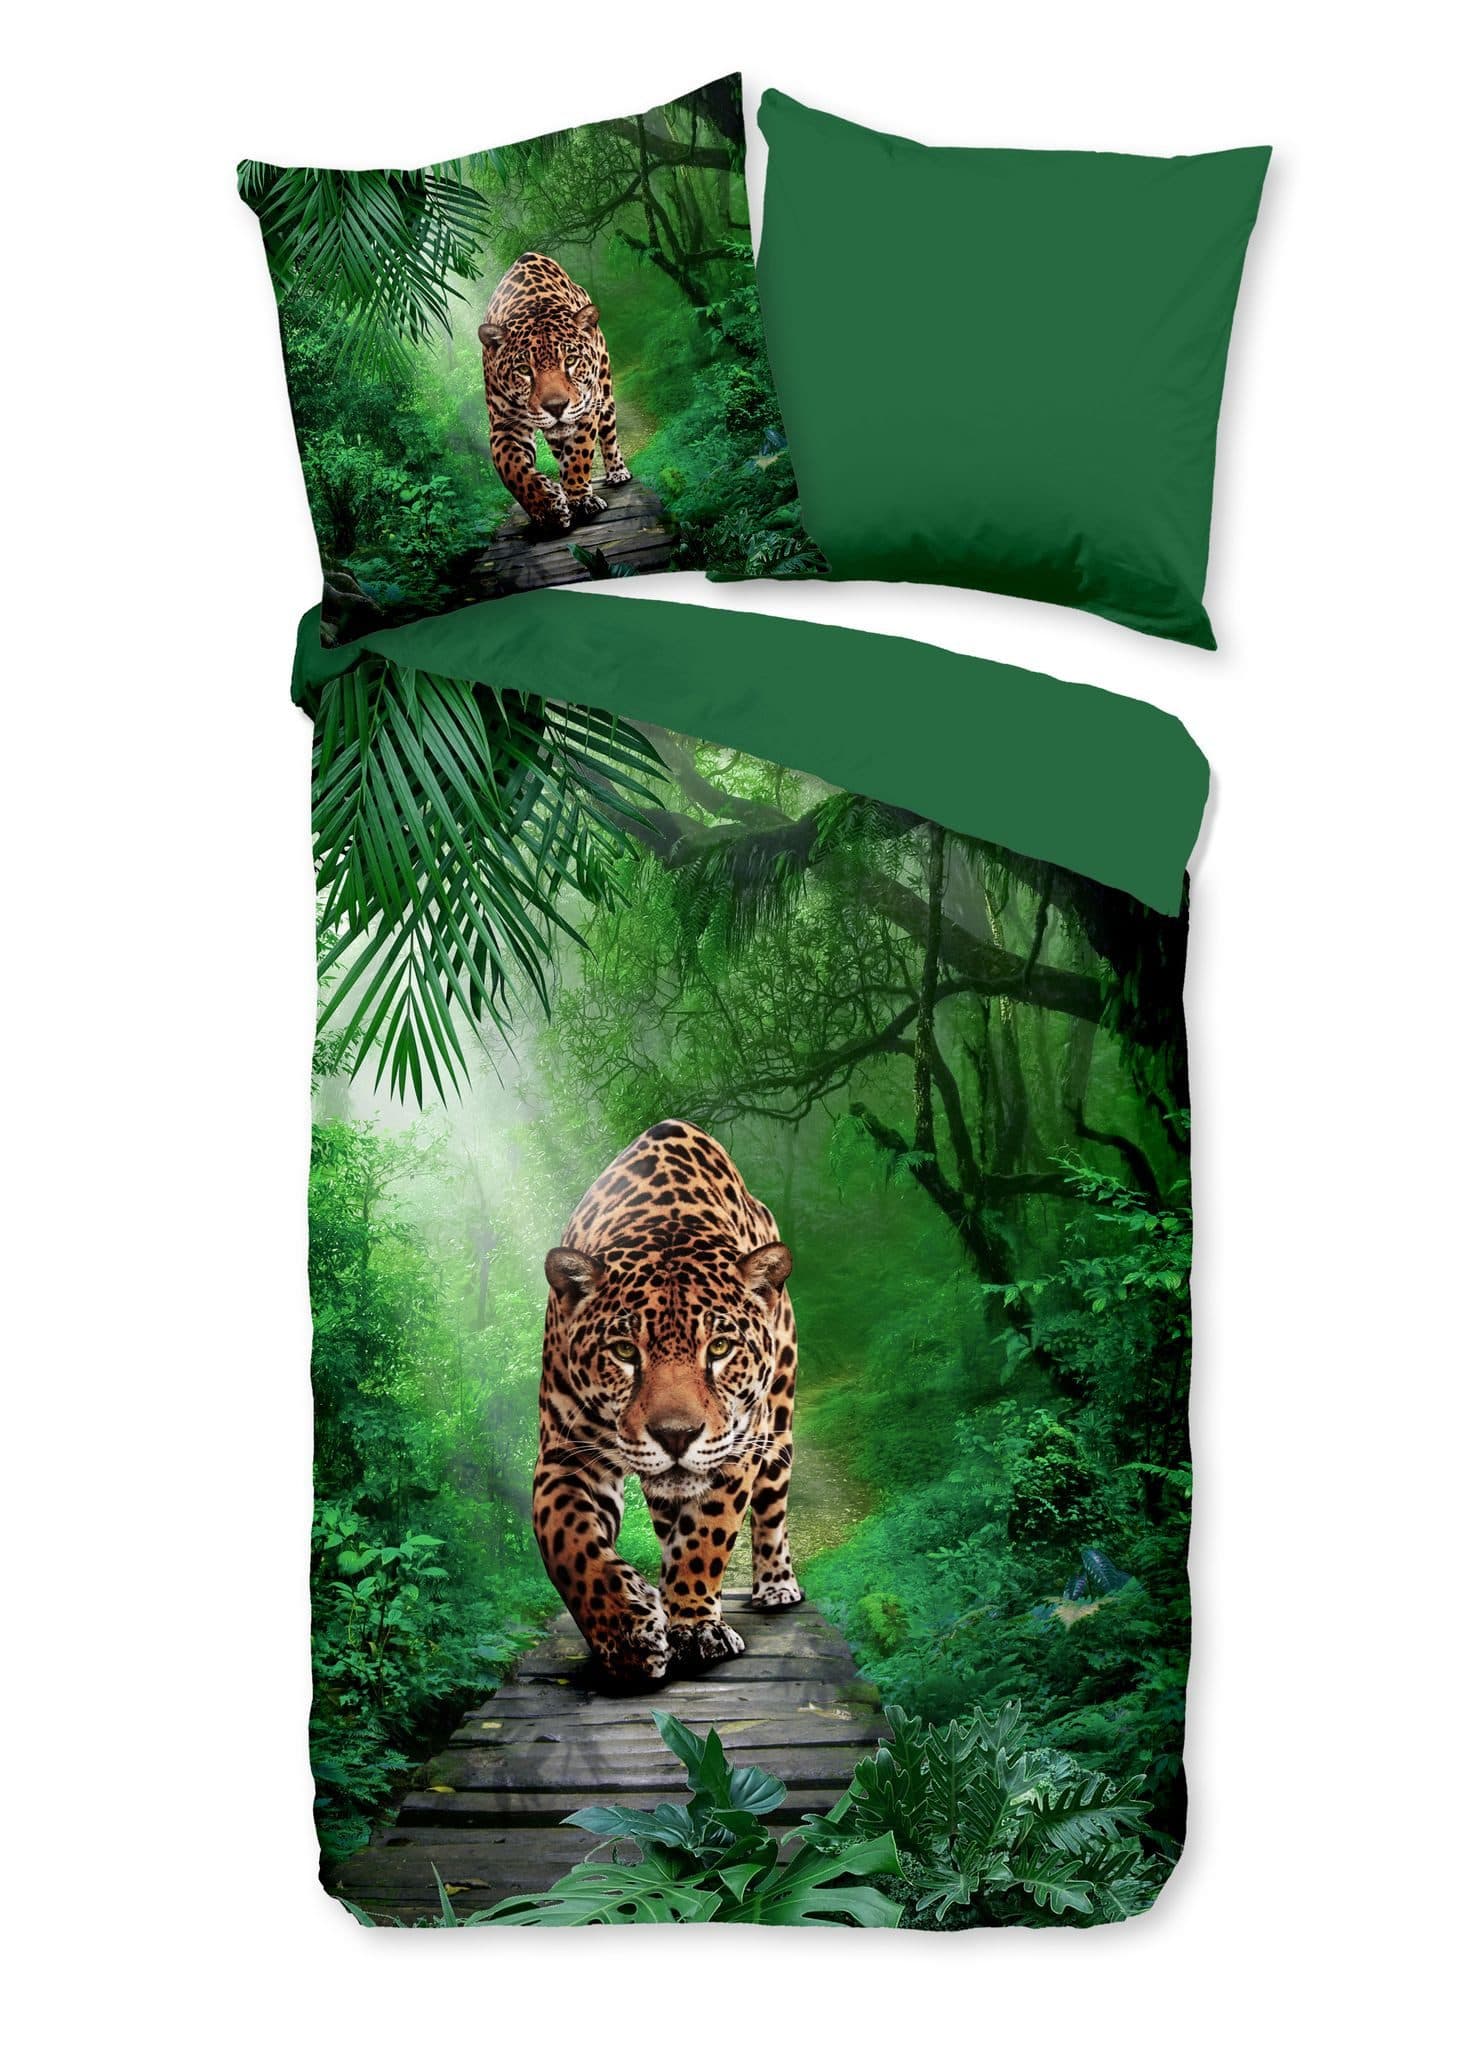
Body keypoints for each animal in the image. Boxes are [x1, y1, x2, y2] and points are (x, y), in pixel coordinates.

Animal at [478, 251, 632, 534]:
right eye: (524, 369)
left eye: (570, 360)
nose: (556, 407)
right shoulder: (504, 424)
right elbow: (512, 468)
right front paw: (548, 508)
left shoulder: (586, 408)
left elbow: (579, 454)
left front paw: (580, 499)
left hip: (604, 391)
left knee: (608, 432)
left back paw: (617, 472)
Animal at [534, 1119, 803, 1685]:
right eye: (624, 1351)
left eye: (719, 1348)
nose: (675, 1436)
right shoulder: (565, 1453)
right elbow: (567, 1543)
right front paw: (627, 1632)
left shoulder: (737, 1446)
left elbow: (706, 1536)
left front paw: (695, 1628)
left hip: (778, 1426)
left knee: (771, 1505)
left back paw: (775, 1586)